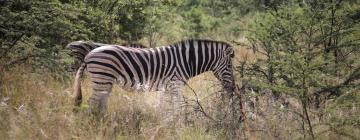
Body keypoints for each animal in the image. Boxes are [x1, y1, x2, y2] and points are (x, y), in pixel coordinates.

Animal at [73, 38, 236, 117]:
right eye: (229, 65)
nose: (233, 88)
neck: (185, 60)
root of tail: (88, 55)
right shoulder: (175, 85)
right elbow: (177, 107)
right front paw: (178, 124)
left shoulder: (168, 87)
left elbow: (167, 107)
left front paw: (167, 122)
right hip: (102, 78)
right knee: (92, 103)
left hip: (105, 81)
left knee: (100, 102)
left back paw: (103, 120)